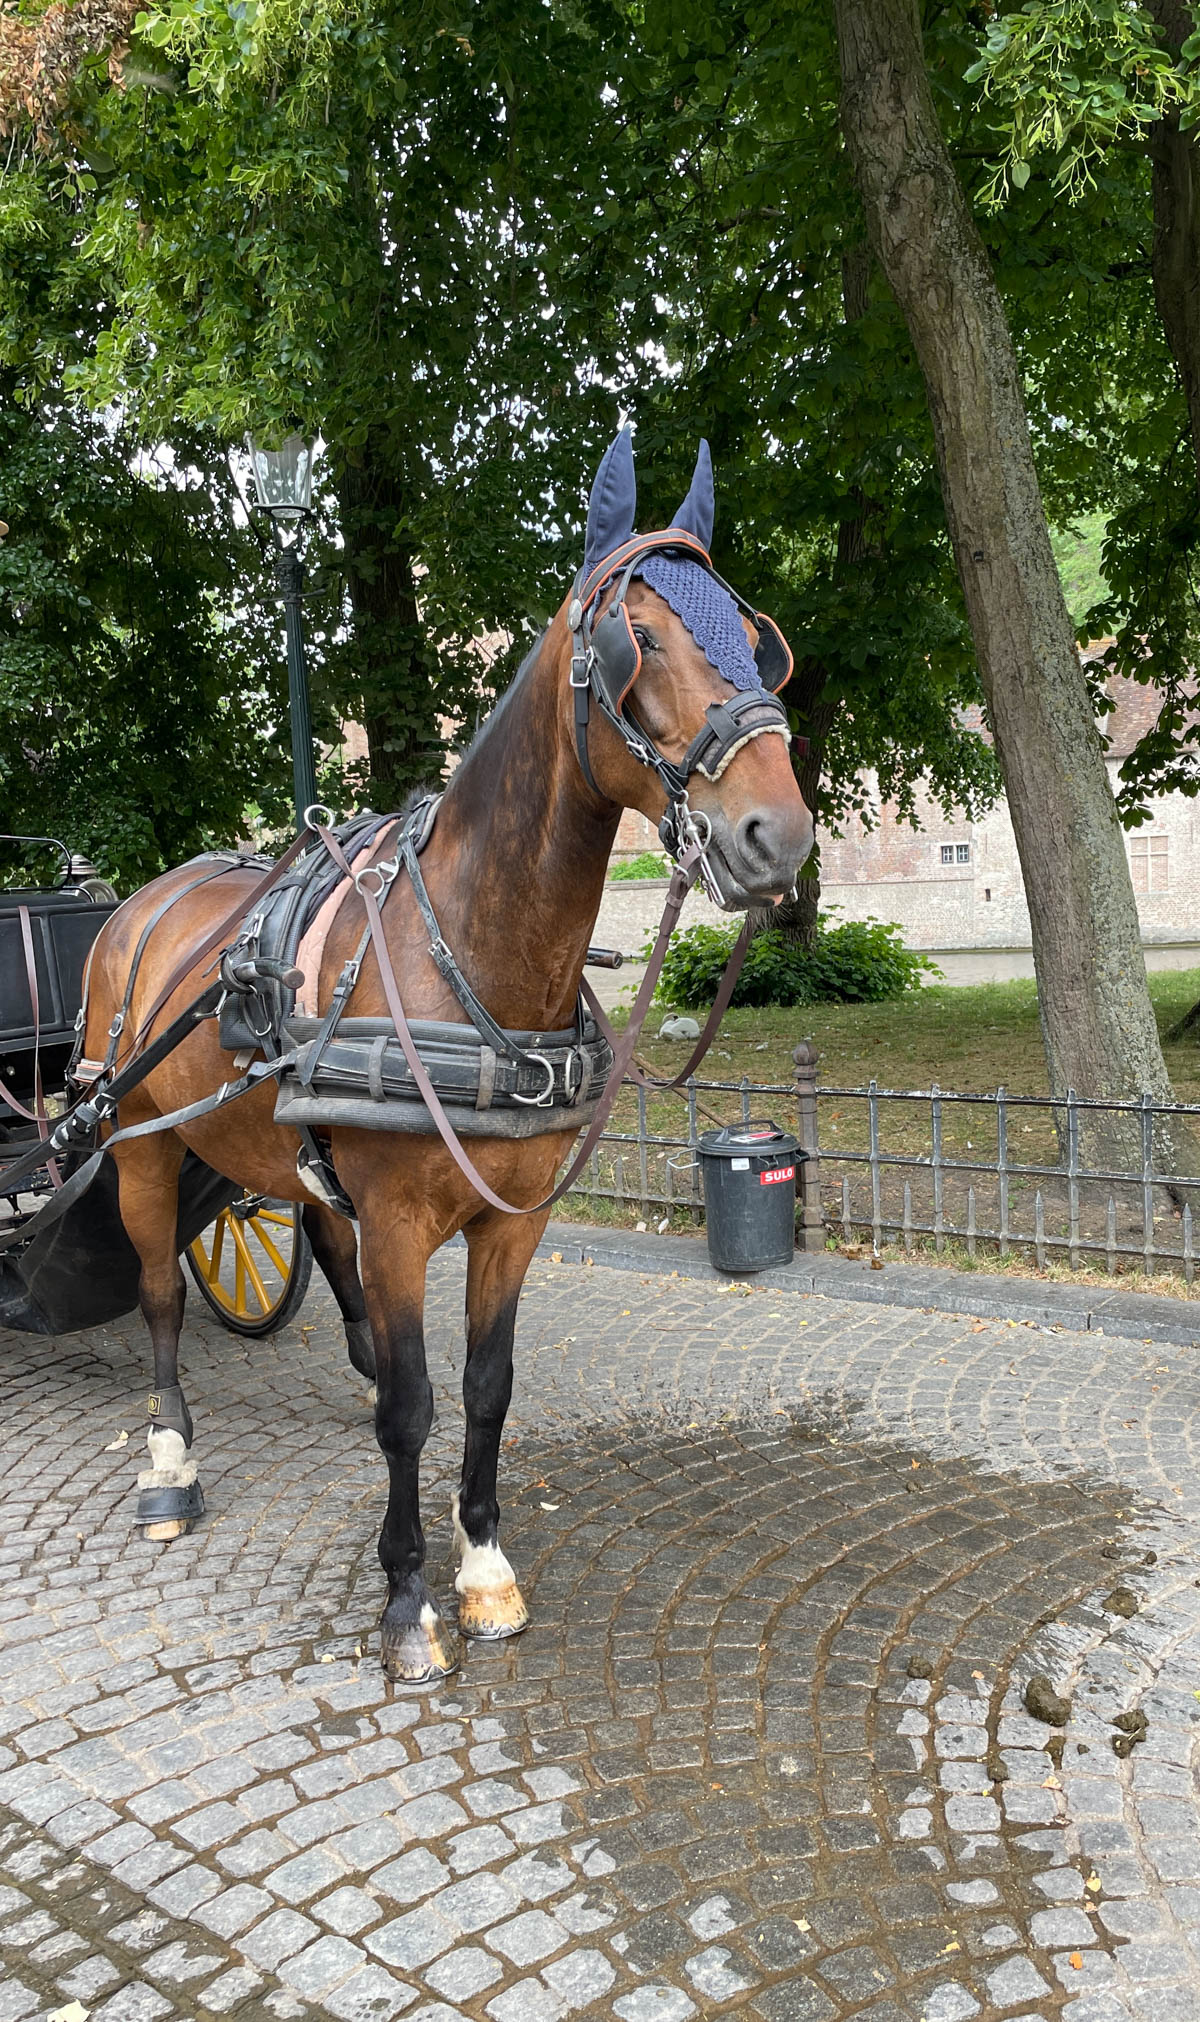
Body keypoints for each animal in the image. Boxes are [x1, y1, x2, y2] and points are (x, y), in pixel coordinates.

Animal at [81, 434, 813, 1682]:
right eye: (636, 635)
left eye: (761, 638)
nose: (781, 836)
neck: (471, 951)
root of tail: (140, 903)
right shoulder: (399, 1222)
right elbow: (413, 1409)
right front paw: (406, 1601)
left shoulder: (511, 1222)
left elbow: (481, 1390)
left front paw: (482, 1569)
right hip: (139, 1145)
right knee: (160, 1297)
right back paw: (169, 1464)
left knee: (315, 1246)